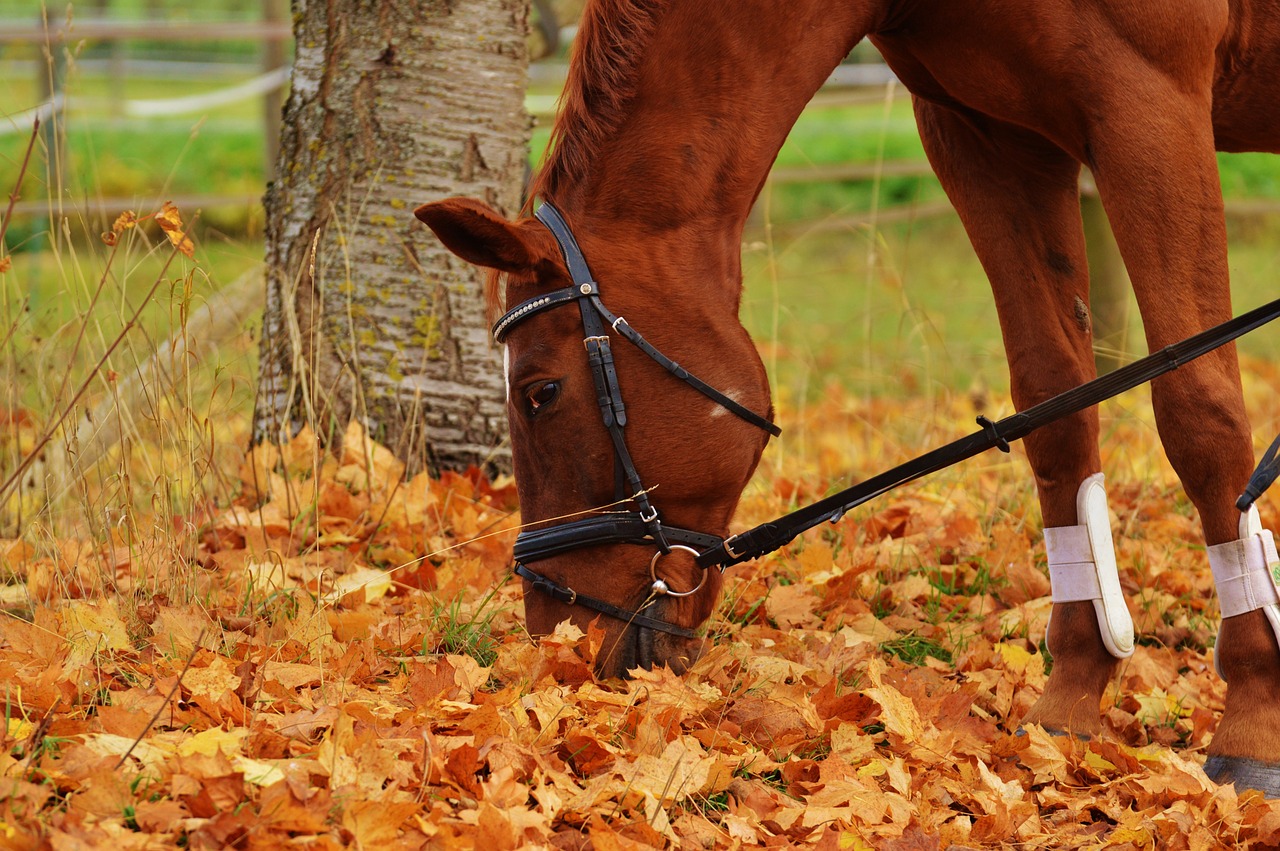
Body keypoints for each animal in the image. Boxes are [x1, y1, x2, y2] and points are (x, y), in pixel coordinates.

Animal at [417, 1, 1280, 788]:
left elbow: (1200, 408)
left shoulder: (1149, 104)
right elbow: (1055, 412)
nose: (555, 634)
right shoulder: (988, 139)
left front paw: (1254, 712)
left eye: (540, 391)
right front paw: (1068, 699)